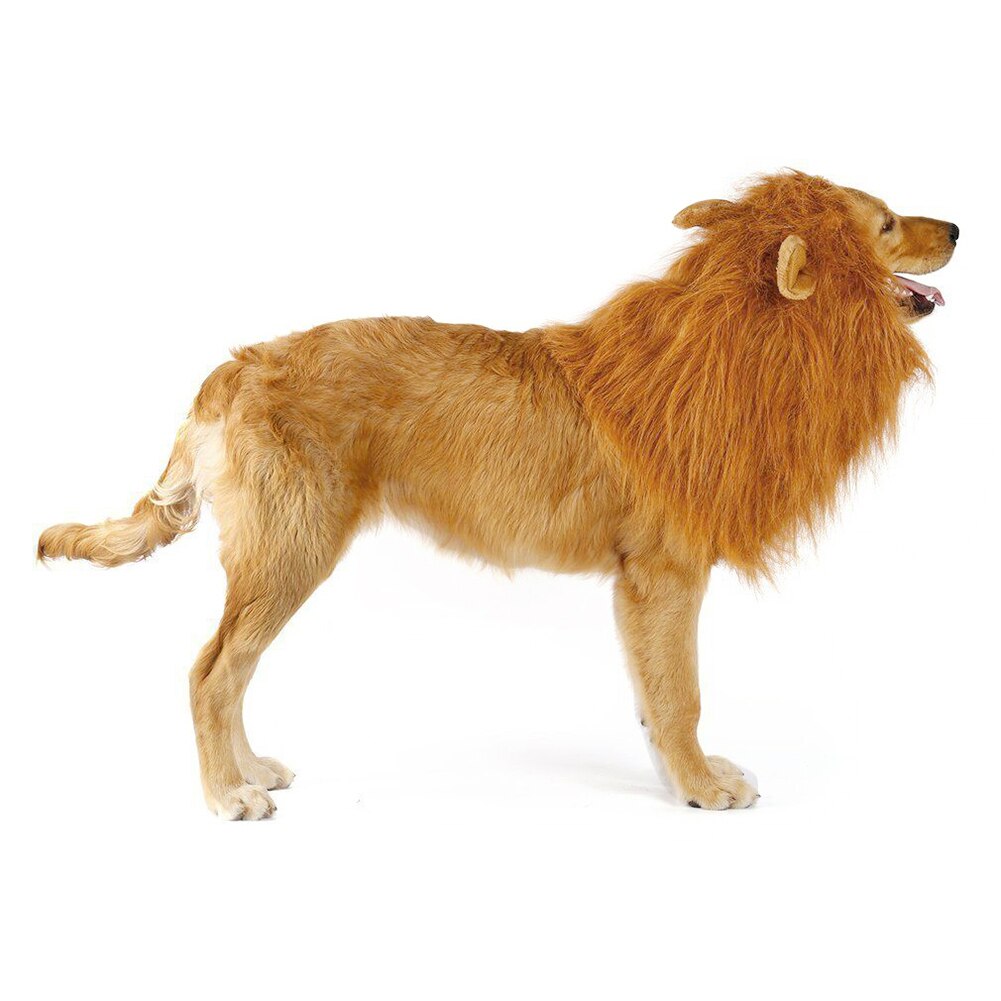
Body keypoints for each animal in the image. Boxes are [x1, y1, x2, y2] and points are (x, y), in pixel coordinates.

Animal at [38, 171, 958, 818]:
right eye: (883, 223)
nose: (954, 225)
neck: (738, 338)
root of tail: (234, 367)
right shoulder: (665, 574)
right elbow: (681, 694)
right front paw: (701, 787)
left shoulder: (641, 586)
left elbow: (652, 697)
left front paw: (681, 777)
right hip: (291, 550)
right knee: (209, 671)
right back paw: (229, 794)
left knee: (234, 668)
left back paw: (253, 767)